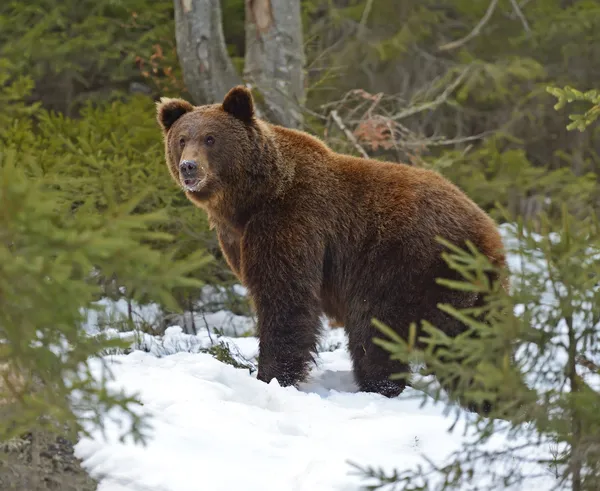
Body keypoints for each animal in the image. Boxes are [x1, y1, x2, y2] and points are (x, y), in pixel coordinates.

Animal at [157, 85, 508, 412]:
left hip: (407, 265)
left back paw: (381, 387)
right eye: (182, 139)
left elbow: (286, 298)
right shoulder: (237, 239)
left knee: (381, 329)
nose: (189, 167)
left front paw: (271, 376)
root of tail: (489, 231)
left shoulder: (292, 221)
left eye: (211, 138)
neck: (249, 201)